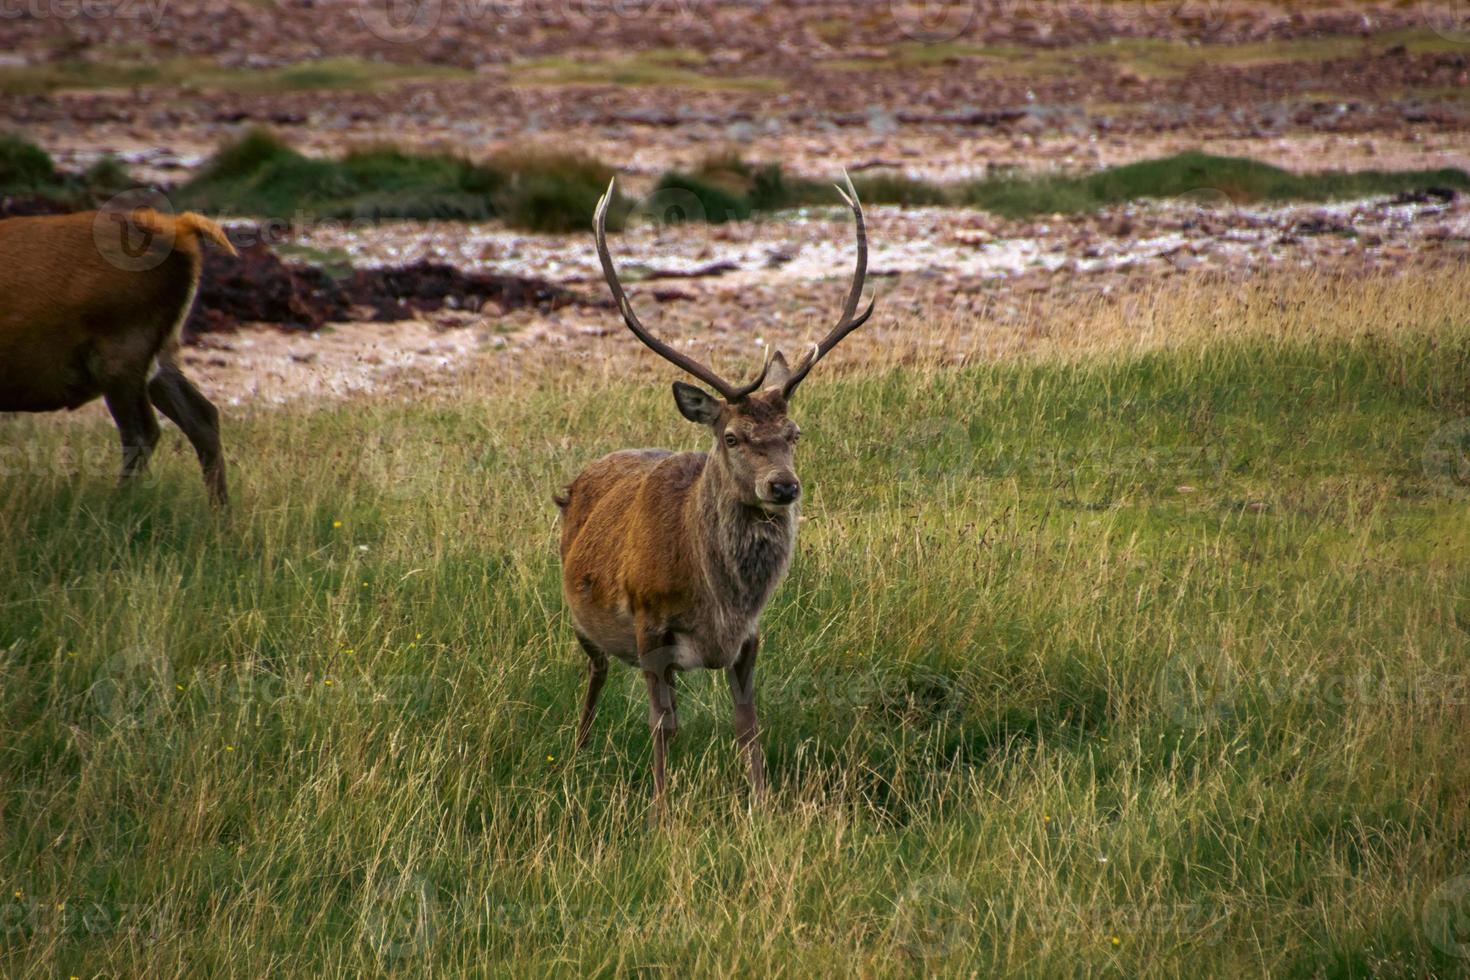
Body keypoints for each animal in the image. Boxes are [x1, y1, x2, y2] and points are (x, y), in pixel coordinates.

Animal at [1, 211, 235, 511]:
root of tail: (180, 230)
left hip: (121, 351)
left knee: (143, 432)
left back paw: (113, 508)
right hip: (158, 356)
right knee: (202, 416)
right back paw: (221, 516)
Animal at [552, 174, 870, 805]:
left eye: (794, 433)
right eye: (732, 436)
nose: (784, 485)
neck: (719, 603)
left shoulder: (749, 640)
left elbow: (748, 724)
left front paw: (764, 805)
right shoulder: (650, 628)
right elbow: (663, 725)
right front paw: (660, 811)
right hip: (582, 619)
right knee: (595, 675)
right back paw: (576, 757)